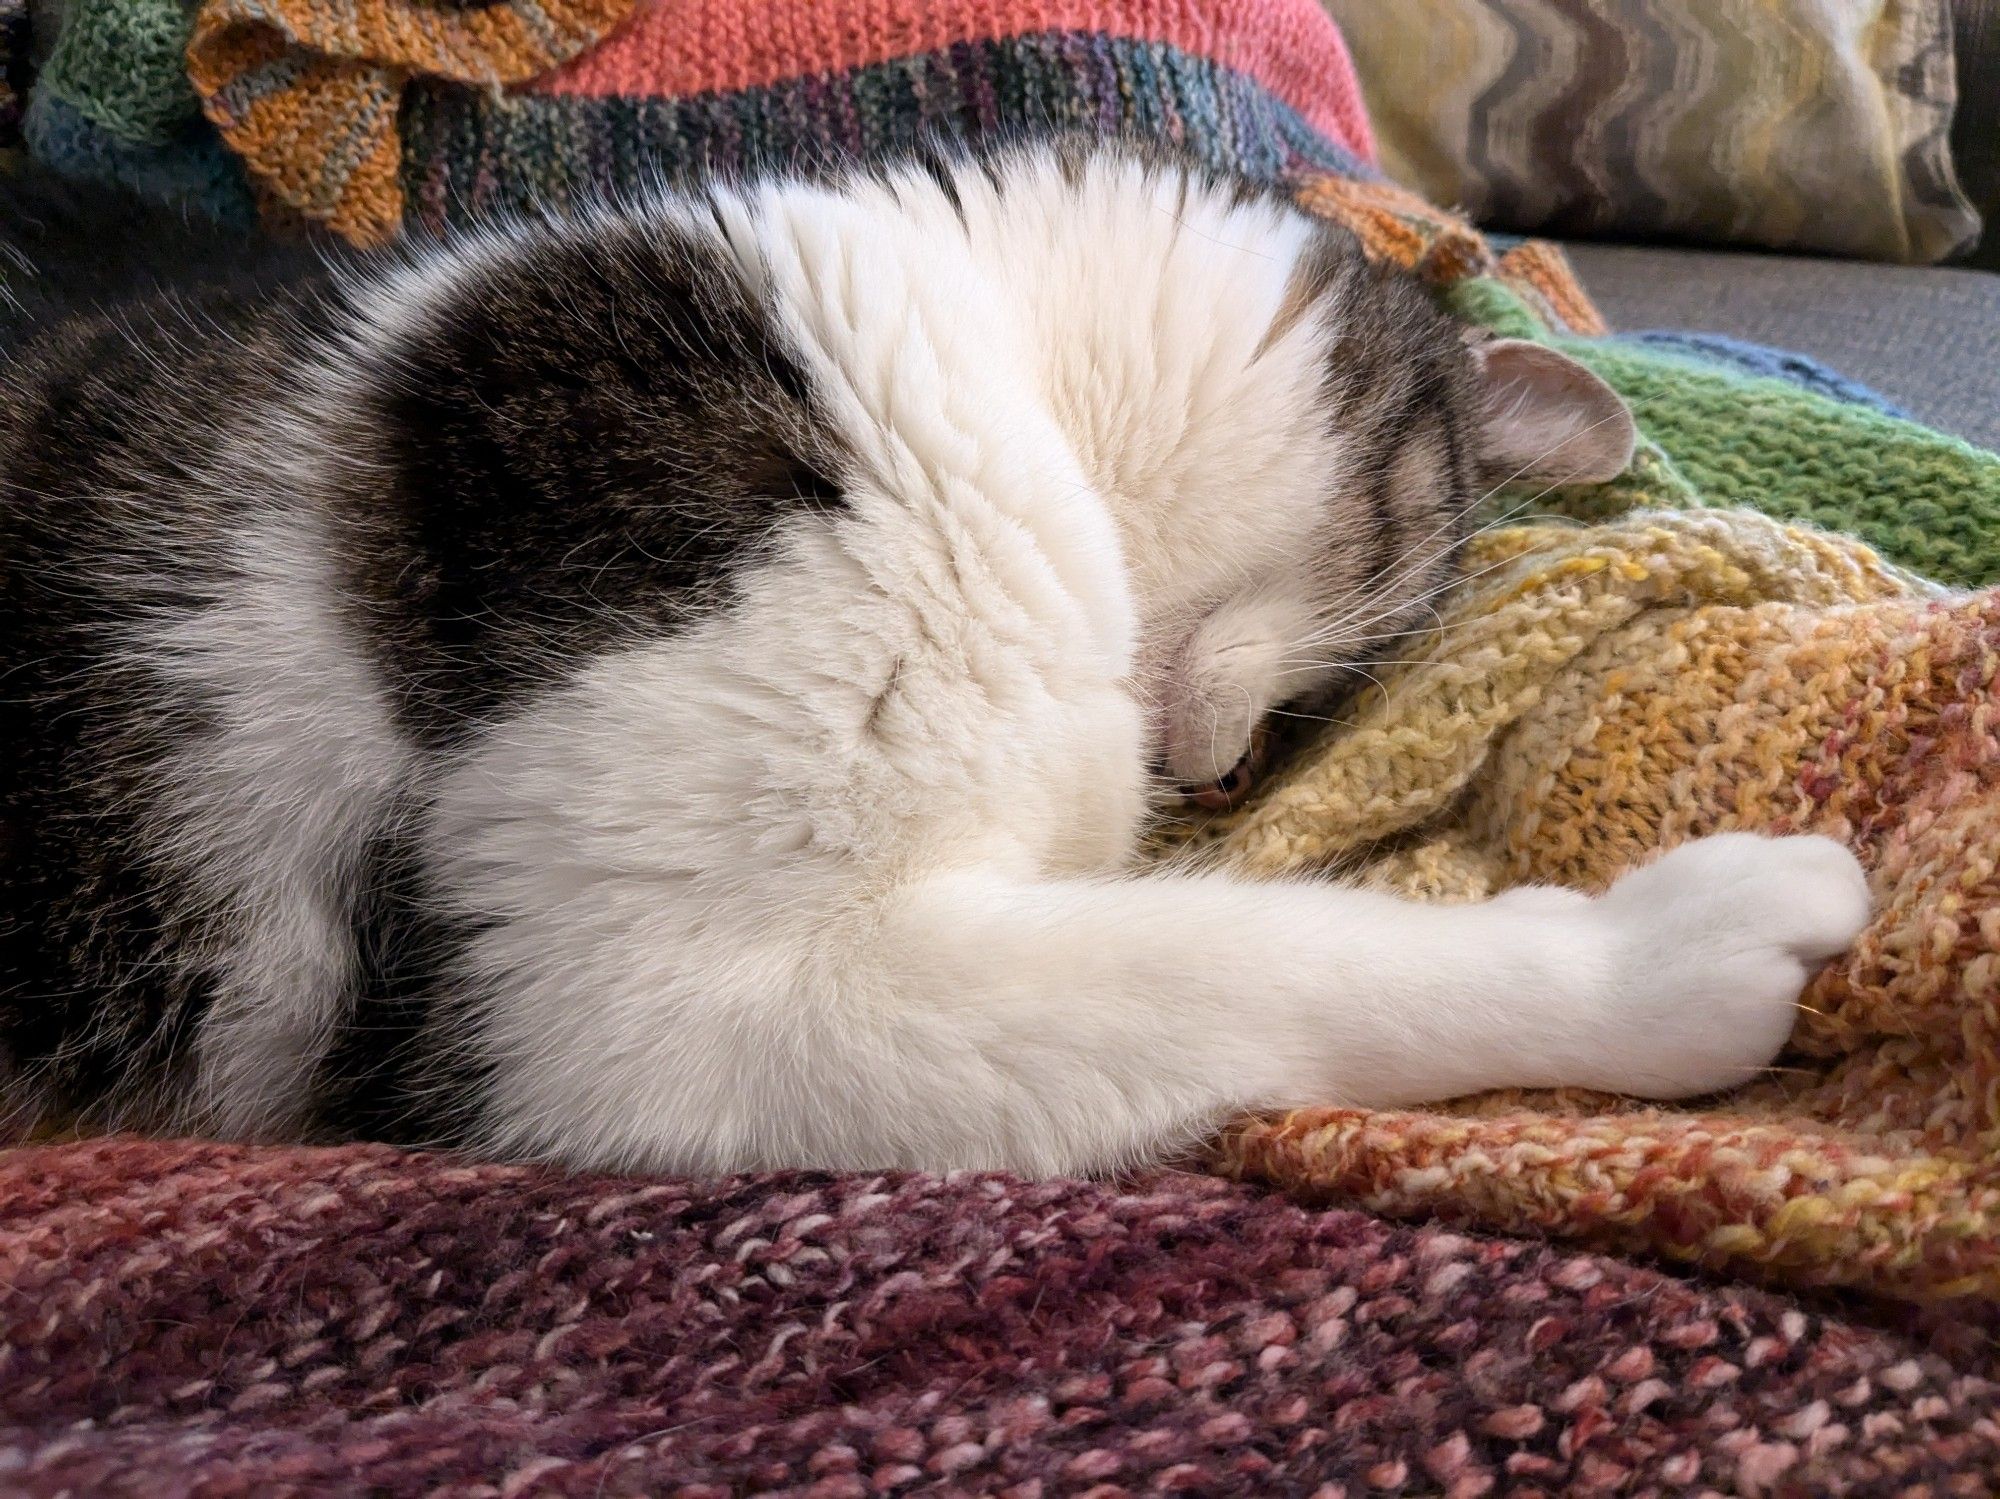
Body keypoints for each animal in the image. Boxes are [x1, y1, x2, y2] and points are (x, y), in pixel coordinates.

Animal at [3, 143, 1872, 1175]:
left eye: (1289, 745)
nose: (1206, 772)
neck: (992, 351)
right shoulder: (630, 997)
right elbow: (1267, 956)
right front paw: (1664, 944)